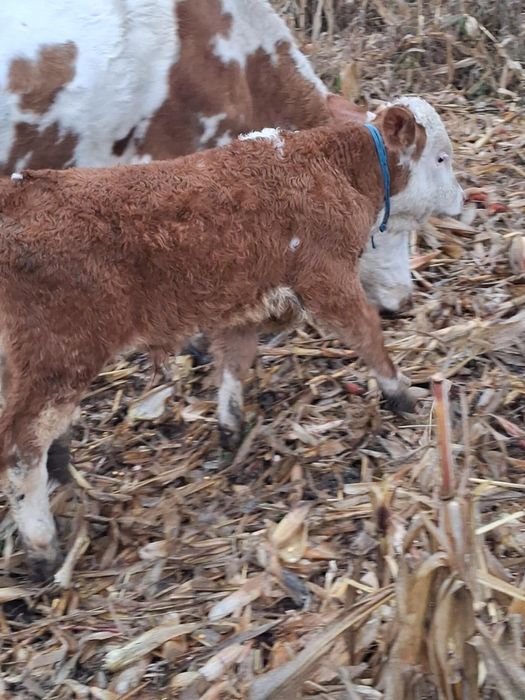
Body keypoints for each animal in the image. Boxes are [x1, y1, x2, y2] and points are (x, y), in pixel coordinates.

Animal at [0, 96, 463, 579]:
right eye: (441, 158)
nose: (462, 200)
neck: (332, 166)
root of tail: (15, 195)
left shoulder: (242, 302)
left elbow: (234, 366)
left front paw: (230, 430)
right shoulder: (327, 278)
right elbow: (368, 336)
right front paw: (402, 394)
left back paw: (62, 479)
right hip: (60, 352)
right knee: (19, 448)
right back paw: (43, 546)